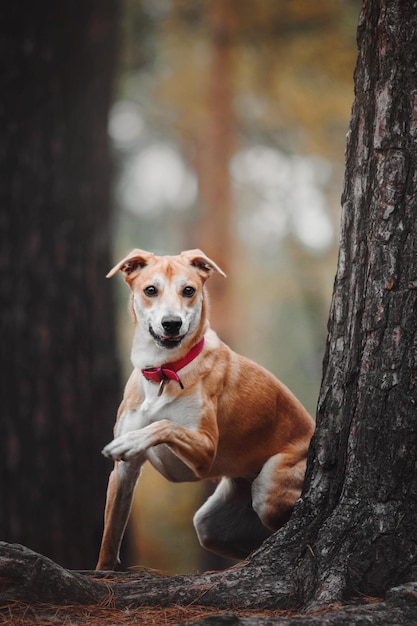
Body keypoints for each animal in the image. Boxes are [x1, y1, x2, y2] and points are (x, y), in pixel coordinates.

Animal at [96, 246, 314, 568]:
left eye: (189, 290)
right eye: (150, 290)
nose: (171, 323)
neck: (163, 370)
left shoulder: (205, 451)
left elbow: (164, 424)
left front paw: (133, 439)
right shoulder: (123, 474)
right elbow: (110, 537)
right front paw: (103, 571)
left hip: (269, 489)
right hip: (212, 525)